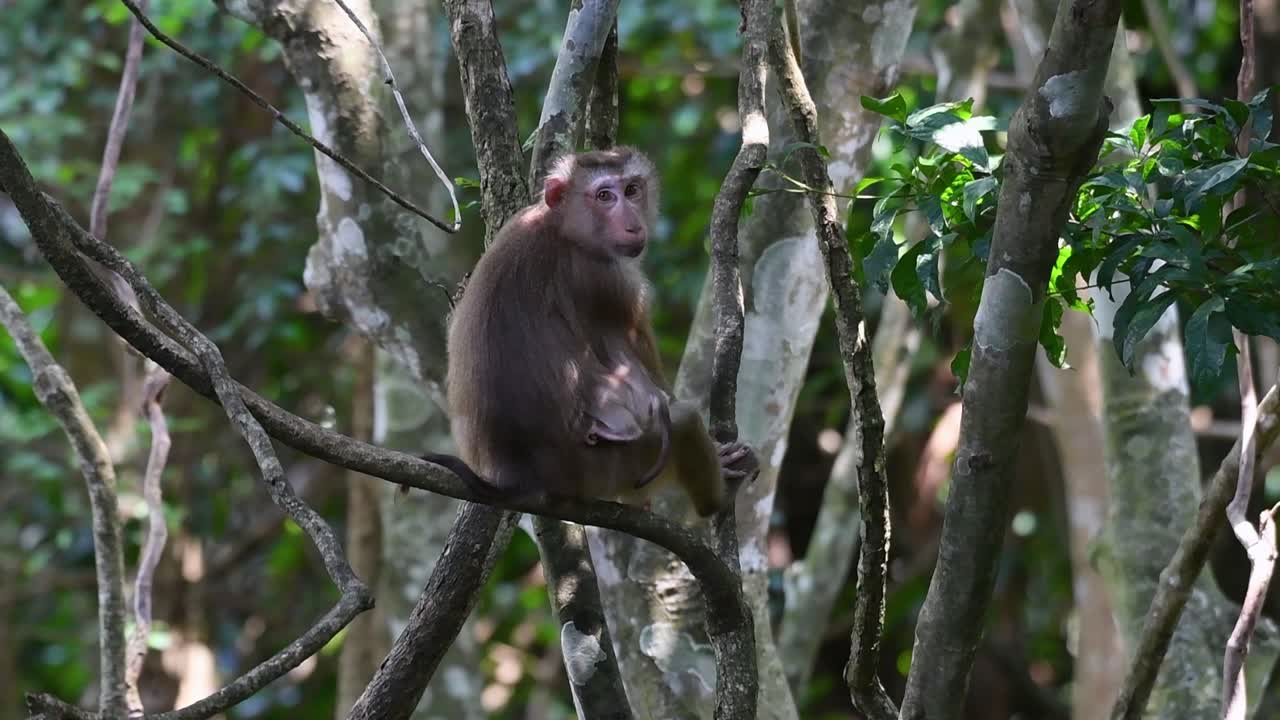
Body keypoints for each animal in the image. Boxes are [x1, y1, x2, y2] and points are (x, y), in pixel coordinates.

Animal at [427, 146, 756, 517]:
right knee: (682, 422)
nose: (632, 224)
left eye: (631, 190)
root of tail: (519, 477)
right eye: (604, 196)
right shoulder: (612, 279)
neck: (559, 226)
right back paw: (717, 499)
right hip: (611, 469)